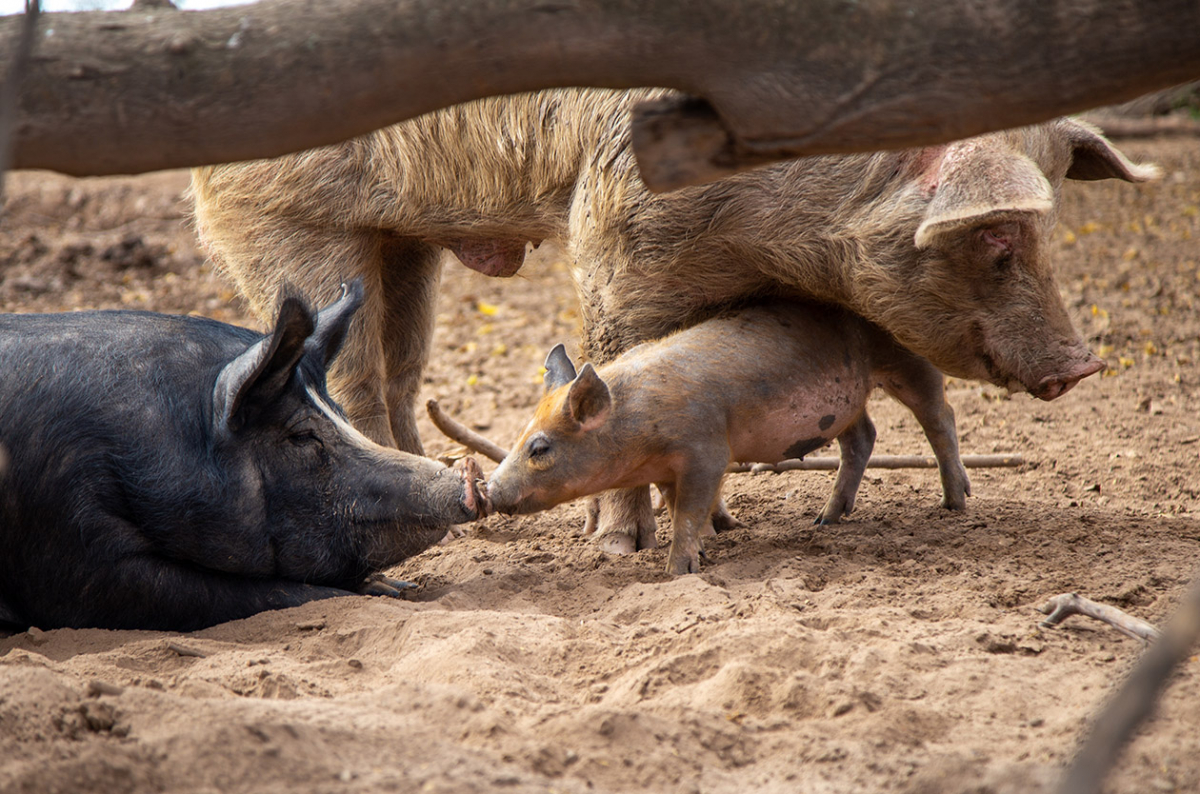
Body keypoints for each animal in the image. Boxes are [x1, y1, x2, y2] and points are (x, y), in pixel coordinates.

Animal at [0, 281, 487, 631]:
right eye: (301, 435)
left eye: (342, 414)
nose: (468, 474)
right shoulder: (72, 552)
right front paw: (390, 590)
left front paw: (399, 586)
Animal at [486, 299, 970, 575]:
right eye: (520, 434)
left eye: (540, 447)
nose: (489, 489)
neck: (638, 425)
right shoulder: (667, 470)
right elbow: (677, 506)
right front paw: (709, 545)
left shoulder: (706, 451)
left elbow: (688, 512)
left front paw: (678, 570)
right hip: (846, 399)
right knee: (863, 437)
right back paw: (824, 520)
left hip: (905, 357)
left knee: (939, 415)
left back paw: (955, 503)